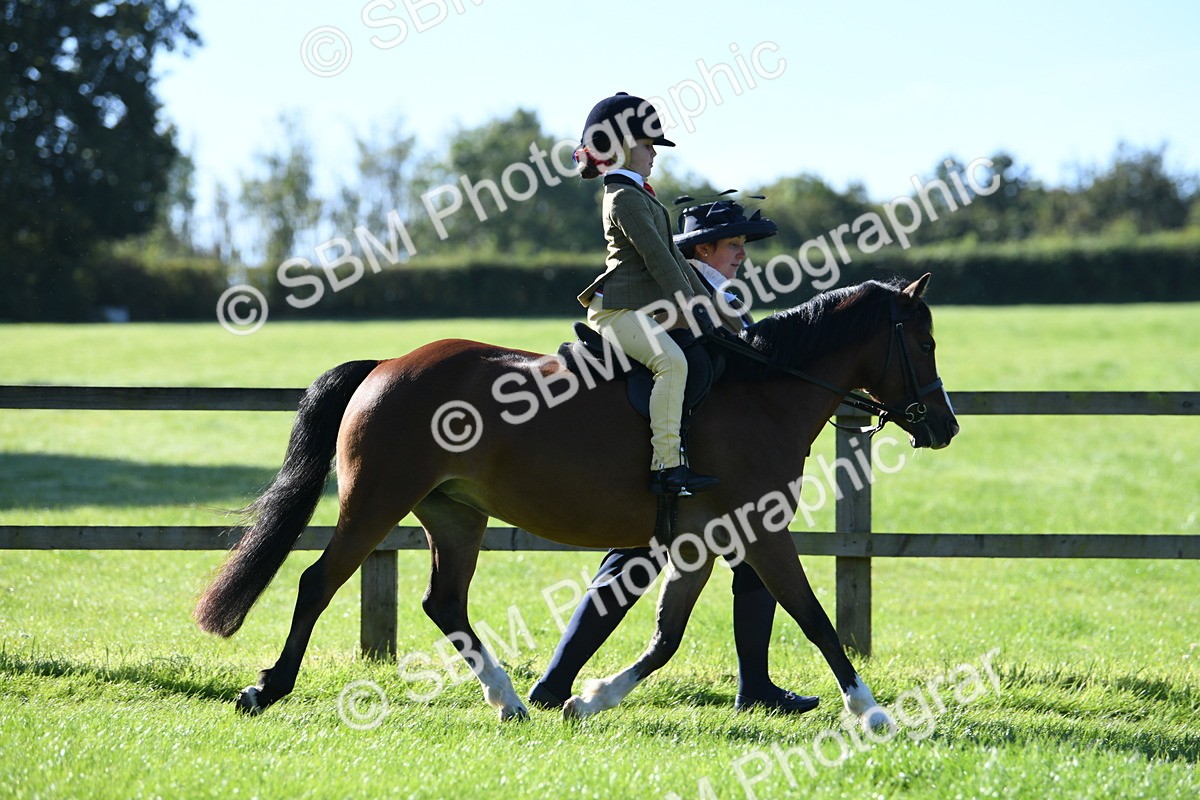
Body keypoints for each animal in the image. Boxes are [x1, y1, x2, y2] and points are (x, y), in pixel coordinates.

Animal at [194, 272, 958, 727]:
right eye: (924, 341)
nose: (945, 427)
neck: (762, 391)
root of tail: (386, 365)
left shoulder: (703, 542)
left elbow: (666, 637)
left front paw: (589, 701)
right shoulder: (760, 533)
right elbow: (813, 618)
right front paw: (874, 713)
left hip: (455, 514)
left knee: (444, 603)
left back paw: (509, 700)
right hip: (375, 502)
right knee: (316, 583)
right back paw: (268, 689)